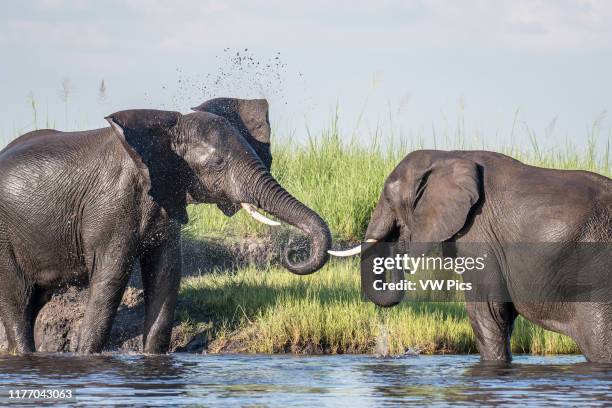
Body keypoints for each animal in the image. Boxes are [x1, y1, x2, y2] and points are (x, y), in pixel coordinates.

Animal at [0, 98, 332, 354]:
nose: (291, 251)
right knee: (17, 300)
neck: (166, 132)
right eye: (217, 164)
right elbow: (110, 278)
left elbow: (166, 274)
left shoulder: (165, 198)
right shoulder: (111, 206)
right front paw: (87, 357)